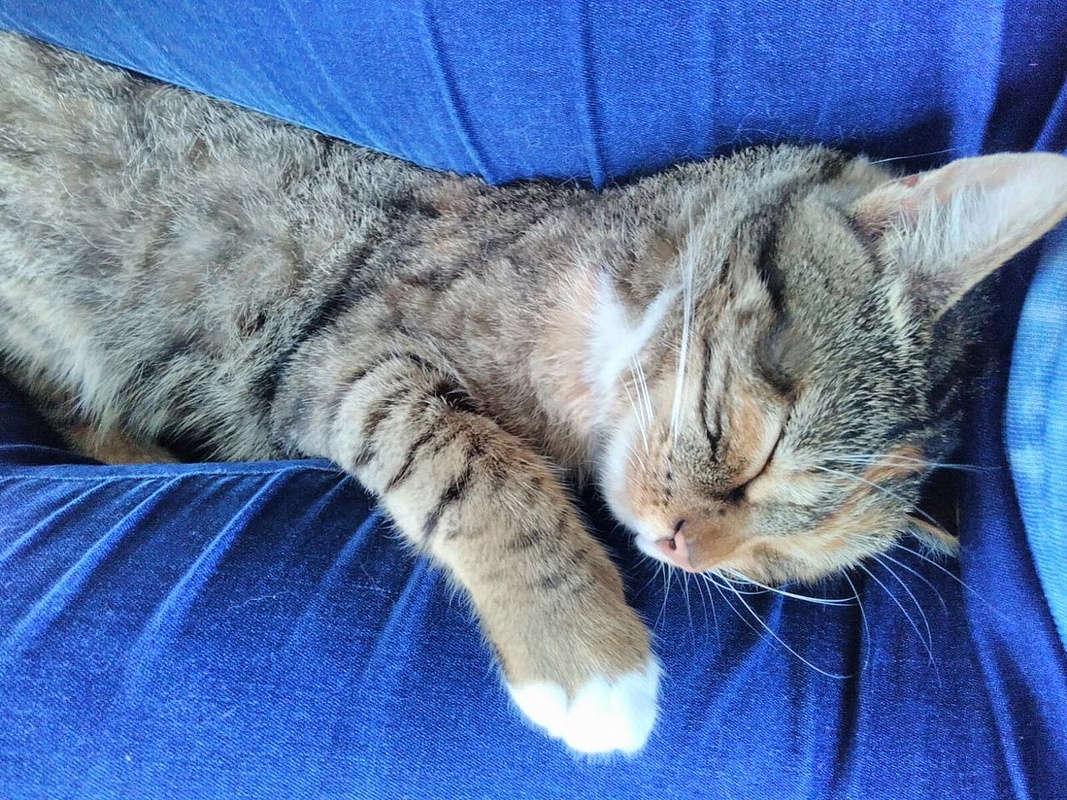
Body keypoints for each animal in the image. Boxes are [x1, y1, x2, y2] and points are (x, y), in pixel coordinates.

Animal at [2, 31, 1067, 756]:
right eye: (758, 453)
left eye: (778, 561)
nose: (684, 547)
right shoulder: (340, 347)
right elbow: (467, 457)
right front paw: (585, 656)